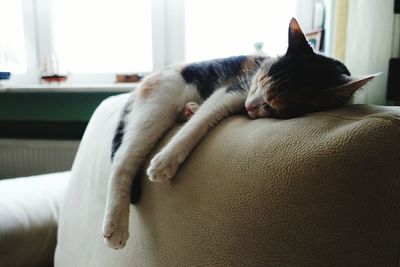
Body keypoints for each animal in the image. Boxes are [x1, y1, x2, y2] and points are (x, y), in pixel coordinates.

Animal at [101, 18, 376, 249]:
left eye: (274, 107)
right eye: (260, 80)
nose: (249, 106)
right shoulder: (234, 88)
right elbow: (198, 124)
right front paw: (165, 161)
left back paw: (189, 109)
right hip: (158, 103)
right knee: (123, 161)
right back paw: (115, 225)